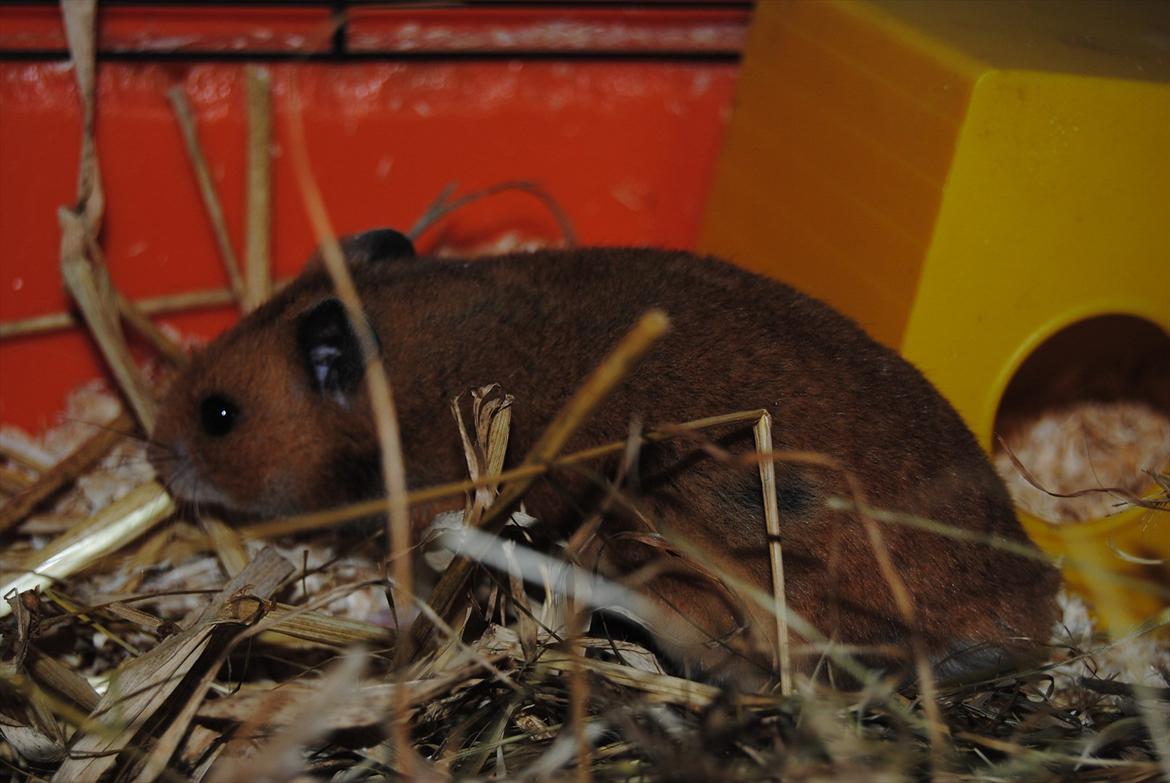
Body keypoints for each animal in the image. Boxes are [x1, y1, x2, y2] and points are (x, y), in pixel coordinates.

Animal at [150, 229, 1060, 683]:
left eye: (219, 415)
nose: (156, 458)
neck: (410, 370)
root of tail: (1032, 614)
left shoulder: (425, 524)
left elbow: (410, 593)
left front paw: (380, 623)